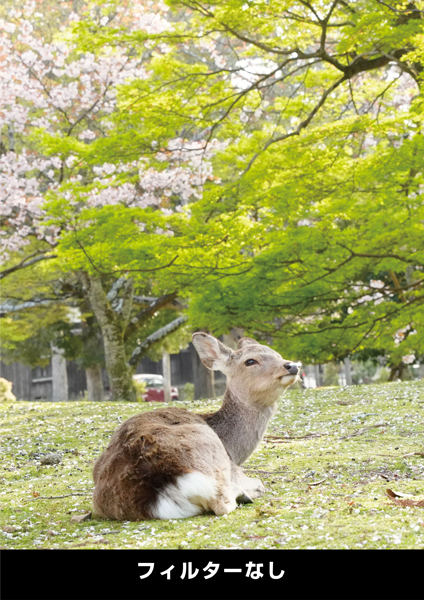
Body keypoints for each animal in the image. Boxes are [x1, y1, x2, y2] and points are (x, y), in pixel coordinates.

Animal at [93, 332, 298, 520]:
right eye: (250, 361)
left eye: (277, 354)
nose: (292, 365)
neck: (233, 450)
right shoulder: (234, 468)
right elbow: (259, 484)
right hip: (212, 453)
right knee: (223, 502)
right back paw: (242, 495)